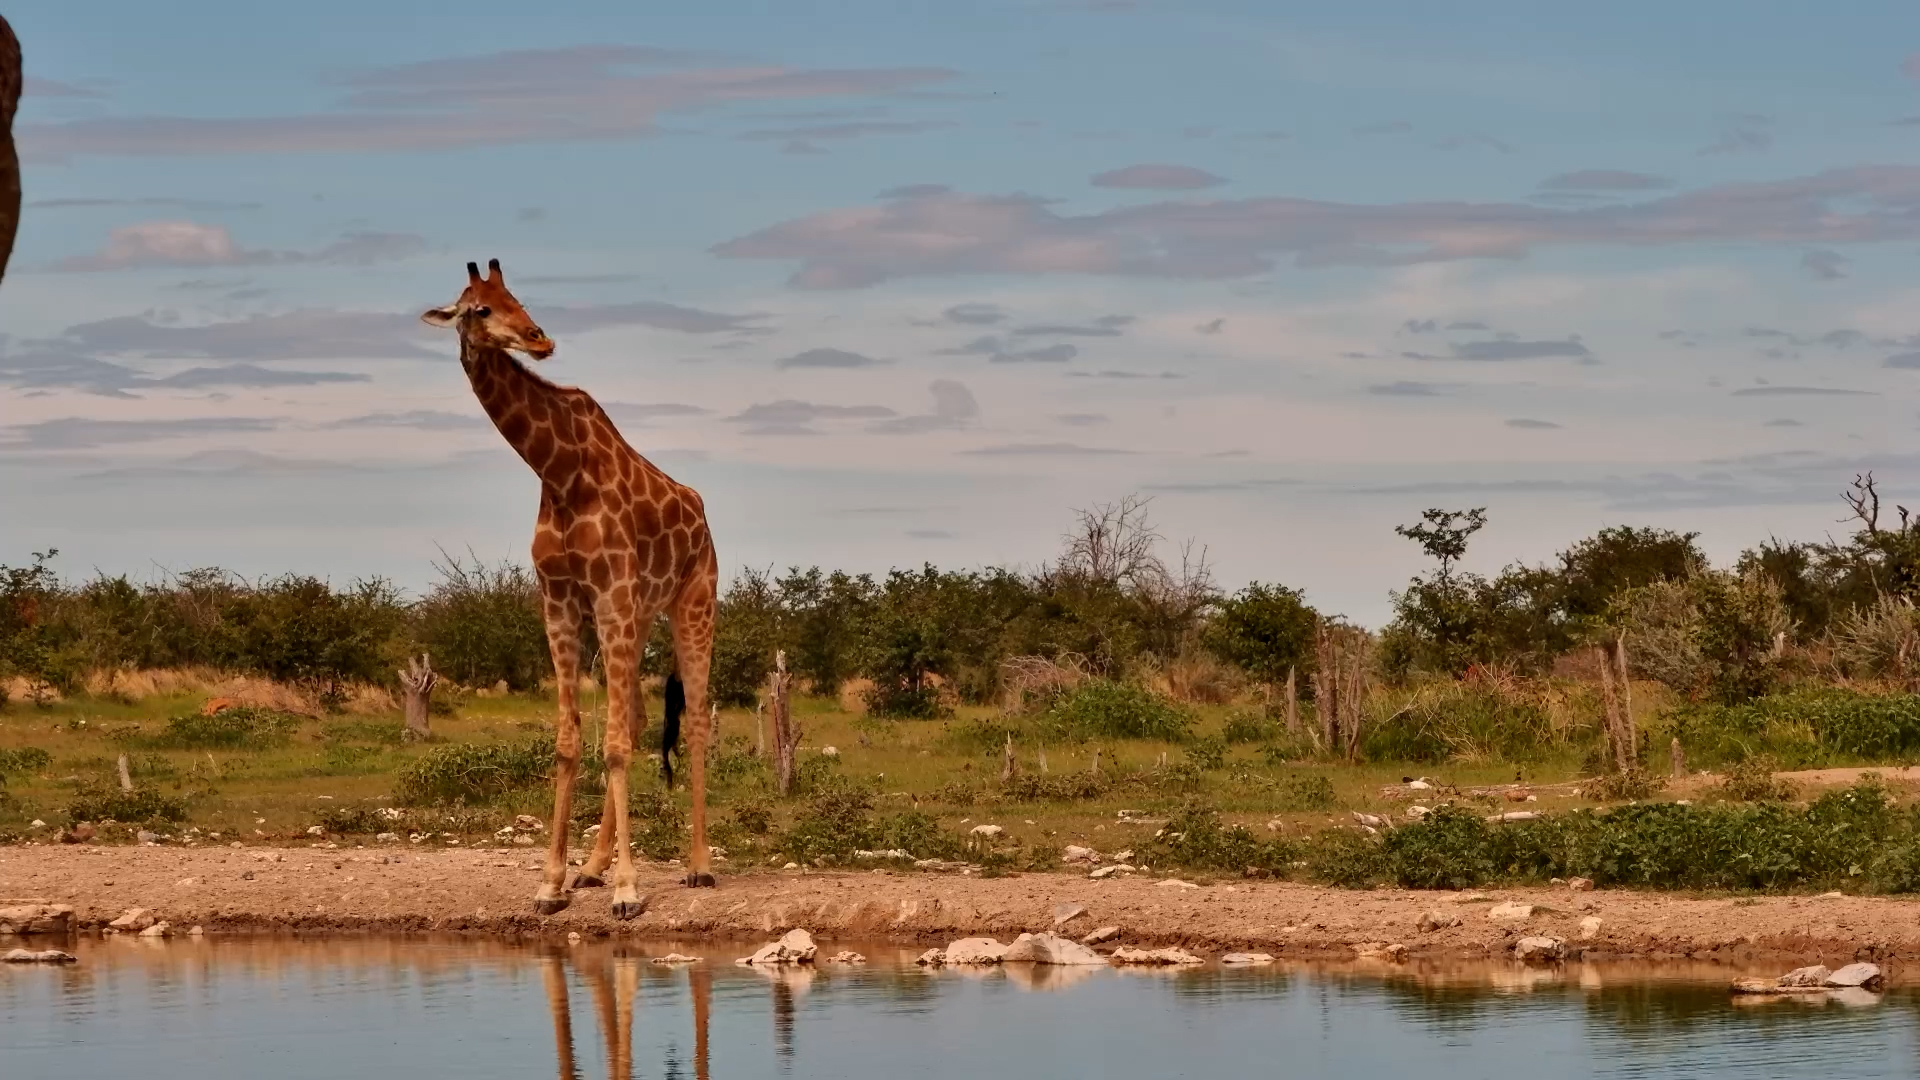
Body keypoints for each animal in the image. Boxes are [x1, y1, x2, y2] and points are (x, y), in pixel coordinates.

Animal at [421, 258, 720, 917]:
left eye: (517, 297)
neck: (557, 473)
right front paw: (553, 882)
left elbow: (612, 745)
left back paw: (698, 866)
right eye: (480, 307)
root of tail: (702, 515)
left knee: (694, 722)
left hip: (692, 602)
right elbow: (569, 741)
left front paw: (630, 891)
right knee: (636, 718)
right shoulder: (559, 604)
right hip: (637, 616)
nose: (539, 339)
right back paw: (593, 867)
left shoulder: (610, 597)